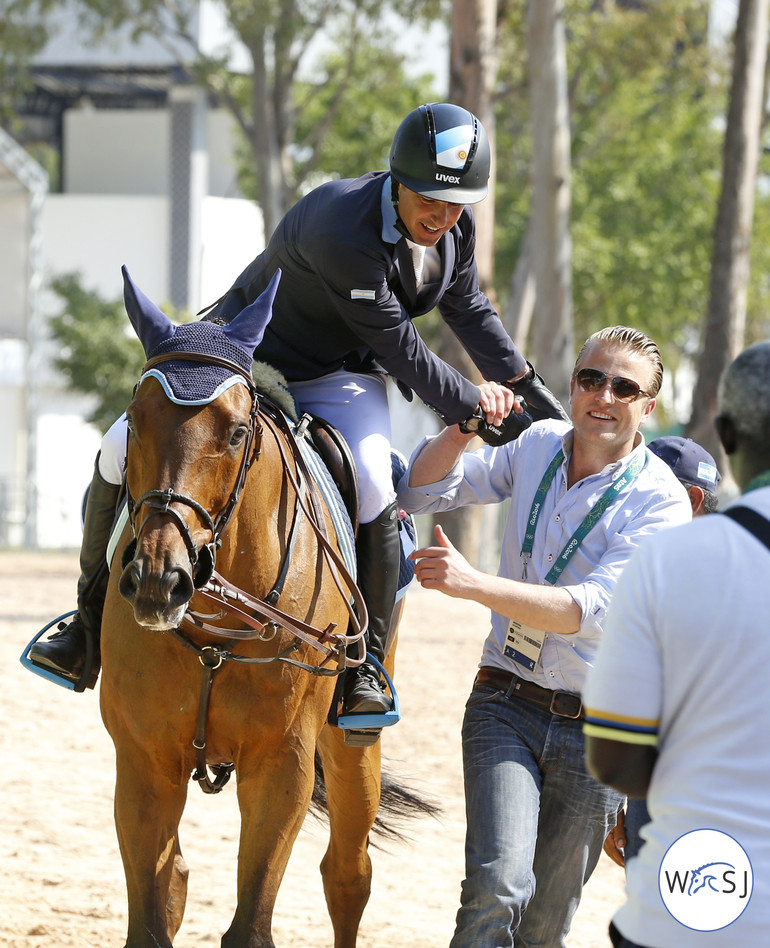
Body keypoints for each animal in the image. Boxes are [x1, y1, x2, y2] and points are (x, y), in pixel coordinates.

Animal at [100, 268, 408, 948]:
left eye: (238, 432)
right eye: (133, 420)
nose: (159, 580)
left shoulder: (281, 765)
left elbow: (252, 925)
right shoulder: (144, 761)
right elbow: (150, 921)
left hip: (351, 747)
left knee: (348, 875)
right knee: (178, 878)